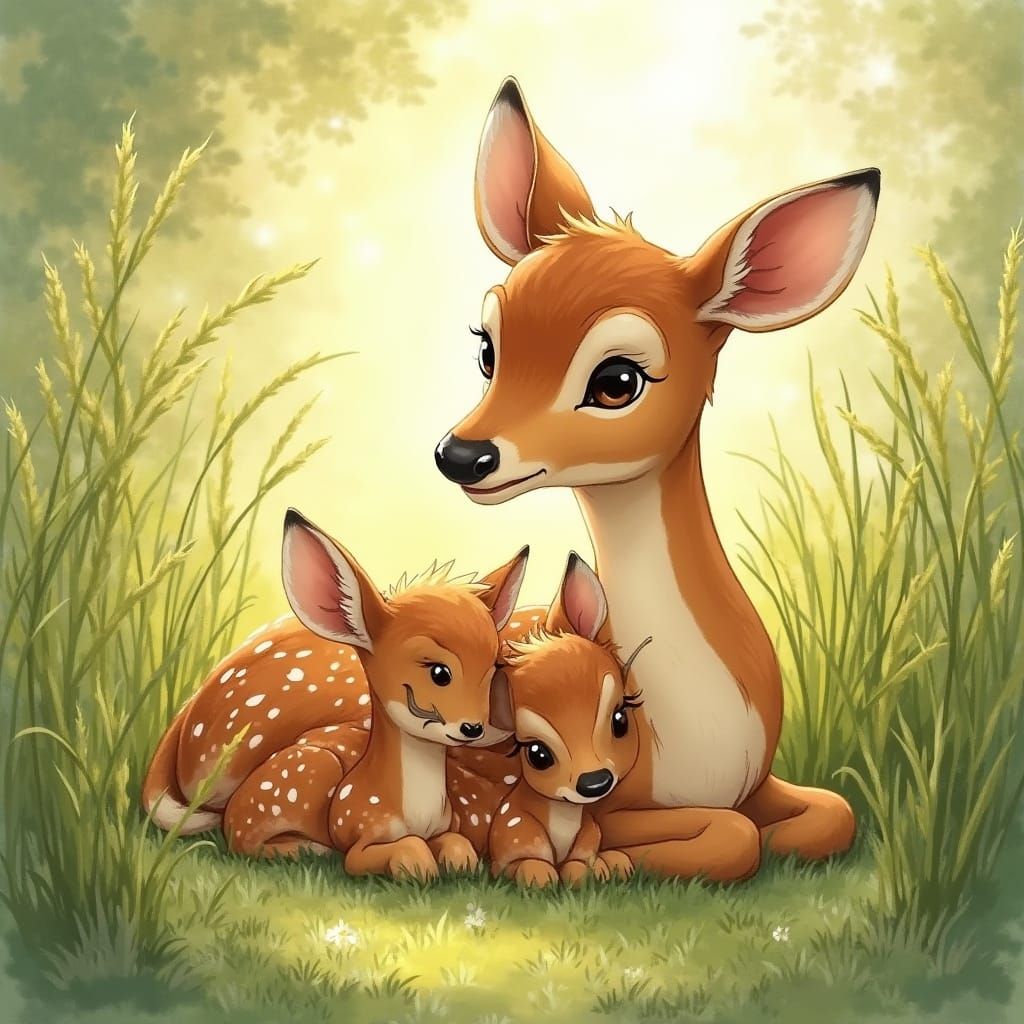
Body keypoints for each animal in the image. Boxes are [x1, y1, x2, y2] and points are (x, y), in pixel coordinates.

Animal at [142, 508, 528, 872]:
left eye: (495, 669)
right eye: (439, 673)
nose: (474, 728)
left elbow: (458, 848)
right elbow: (407, 853)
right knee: (242, 837)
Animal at [433, 77, 879, 882]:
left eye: (617, 380)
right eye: (487, 349)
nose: (464, 455)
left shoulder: (762, 781)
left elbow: (834, 813)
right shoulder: (608, 800)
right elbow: (731, 836)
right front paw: (608, 863)